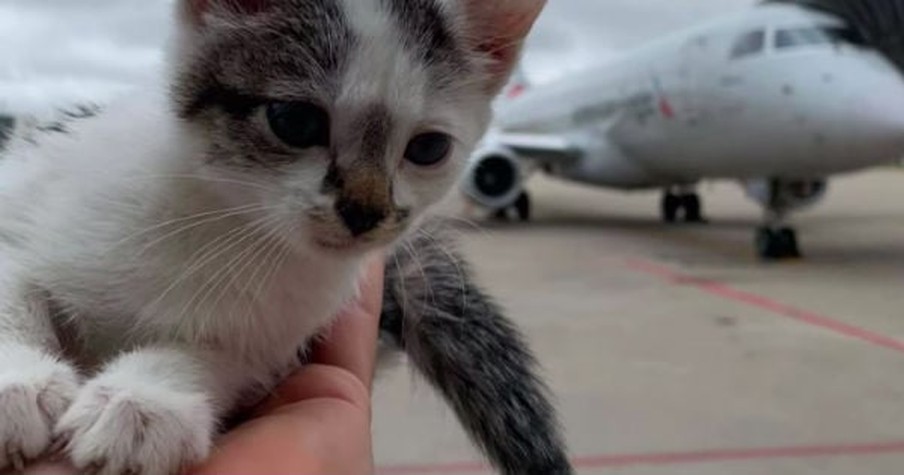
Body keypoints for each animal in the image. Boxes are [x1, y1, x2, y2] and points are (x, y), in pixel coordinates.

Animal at [0, 0, 568, 475]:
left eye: (428, 148)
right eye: (294, 121)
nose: (366, 211)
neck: (227, 227)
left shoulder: (276, 336)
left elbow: (223, 355)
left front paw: (146, 403)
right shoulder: (29, 182)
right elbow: (14, 287)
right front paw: (18, 386)